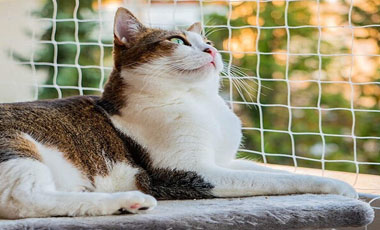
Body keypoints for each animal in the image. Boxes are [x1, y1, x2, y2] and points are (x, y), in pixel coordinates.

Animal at [0, 7, 356, 219]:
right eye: (178, 41)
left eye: (207, 40)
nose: (212, 49)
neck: (200, 102)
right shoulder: (189, 172)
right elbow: (276, 179)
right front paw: (343, 190)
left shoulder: (223, 160)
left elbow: (277, 171)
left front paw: (335, 182)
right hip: (17, 146)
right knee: (21, 200)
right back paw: (127, 200)